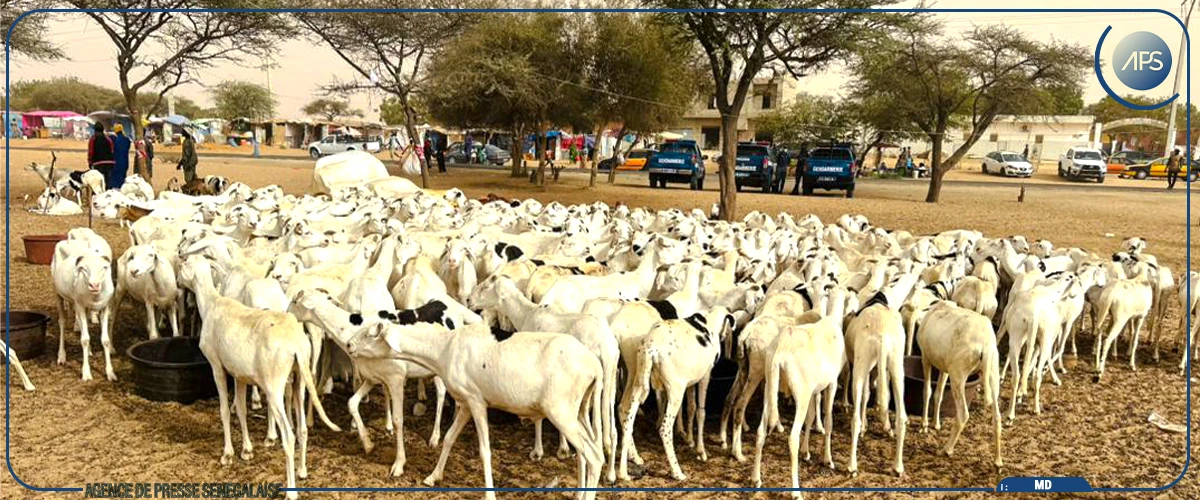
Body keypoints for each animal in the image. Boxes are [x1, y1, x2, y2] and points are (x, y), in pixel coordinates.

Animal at [52, 240, 116, 382]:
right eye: (84, 268)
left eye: (103, 268)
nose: (94, 285)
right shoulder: (79, 306)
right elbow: (84, 339)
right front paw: (86, 373)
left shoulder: (105, 307)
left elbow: (105, 340)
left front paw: (110, 373)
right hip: (57, 293)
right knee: (62, 321)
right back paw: (61, 356)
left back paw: (90, 351)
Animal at [178, 258, 341, 500]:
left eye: (183, 265)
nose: (178, 284)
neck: (211, 303)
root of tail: (295, 344)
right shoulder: (239, 375)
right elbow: (242, 410)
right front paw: (247, 451)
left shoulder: (217, 366)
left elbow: (225, 411)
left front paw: (227, 455)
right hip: (299, 379)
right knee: (302, 429)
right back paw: (302, 471)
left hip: (274, 385)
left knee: (289, 435)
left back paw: (291, 490)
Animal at [346, 322, 604, 500]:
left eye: (370, 334)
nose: (348, 345)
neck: (443, 349)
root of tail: (594, 364)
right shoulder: (465, 403)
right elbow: (449, 438)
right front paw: (432, 477)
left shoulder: (477, 401)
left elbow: (484, 450)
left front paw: (489, 494)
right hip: (579, 411)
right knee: (588, 452)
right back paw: (579, 494)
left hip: (561, 411)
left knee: (594, 456)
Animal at [618, 307, 732, 481]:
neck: (709, 320)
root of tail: (652, 347)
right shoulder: (705, 377)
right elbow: (701, 412)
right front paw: (701, 450)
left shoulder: (691, 381)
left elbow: (691, 407)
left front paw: (690, 440)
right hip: (676, 391)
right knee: (665, 429)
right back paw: (677, 471)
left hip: (638, 385)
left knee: (627, 420)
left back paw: (624, 471)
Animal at [915, 301, 1002, 469]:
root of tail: (985, 344)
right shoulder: (945, 367)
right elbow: (939, 393)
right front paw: (936, 424)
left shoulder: (925, 357)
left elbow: (926, 391)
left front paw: (924, 425)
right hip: (993, 373)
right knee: (997, 417)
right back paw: (998, 461)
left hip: (958, 375)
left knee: (963, 414)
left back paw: (946, 450)